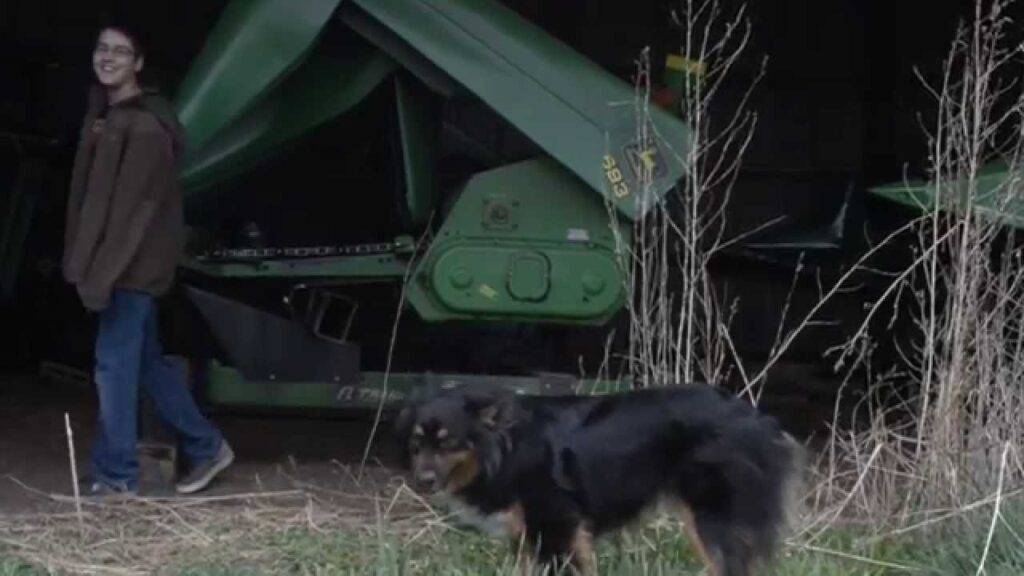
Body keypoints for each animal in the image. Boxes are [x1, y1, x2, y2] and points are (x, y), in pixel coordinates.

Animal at [395, 381, 802, 573]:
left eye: (448, 443)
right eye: (416, 444)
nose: (422, 480)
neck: (505, 448)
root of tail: (760, 421)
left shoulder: (556, 529)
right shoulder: (528, 536)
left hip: (712, 518)